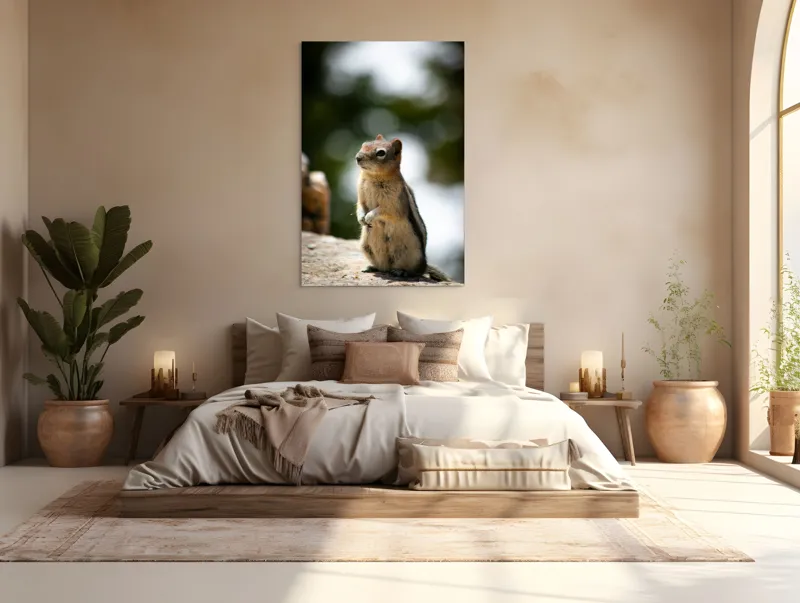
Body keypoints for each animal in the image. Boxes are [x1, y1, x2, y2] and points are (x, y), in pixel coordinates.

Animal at [355, 135, 451, 282]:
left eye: (381, 153)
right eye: (364, 144)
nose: (357, 157)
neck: (373, 177)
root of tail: (424, 265)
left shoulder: (394, 203)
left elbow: (384, 210)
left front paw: (370, 216)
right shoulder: (361, 197)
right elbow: (360, 206)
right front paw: (361, 218)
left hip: (411, 256)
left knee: (415, 272)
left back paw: (401, 272)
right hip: (366, 247)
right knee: (382, 267)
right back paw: (371, 267)